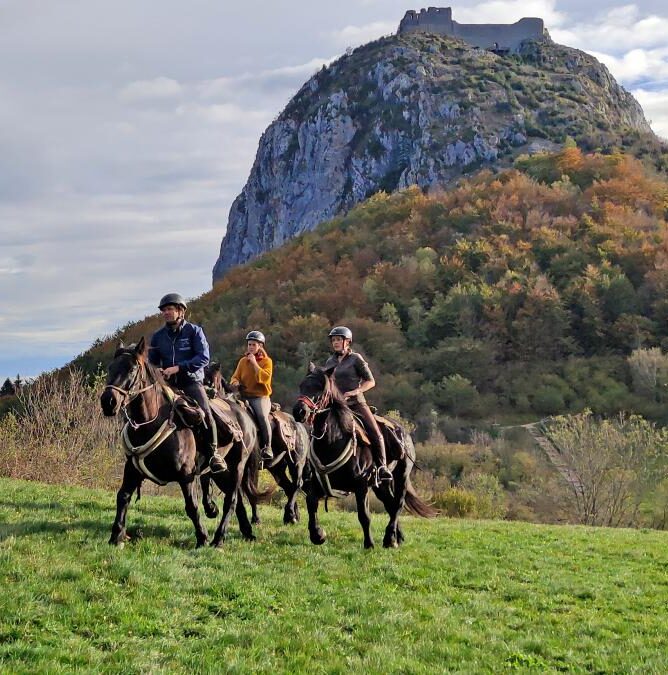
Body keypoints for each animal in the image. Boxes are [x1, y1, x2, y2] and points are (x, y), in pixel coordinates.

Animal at [100, 338, 263, 548]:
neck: (152, 421)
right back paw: (246, 532)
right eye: (111, 367)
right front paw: (116, 536)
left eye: (132, 368)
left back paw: (218, 539)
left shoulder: (186, 475)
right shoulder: (132, 469)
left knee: (232, 500)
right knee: (237, 500)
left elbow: (191, 506)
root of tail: (246, 415)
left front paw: (202, 538)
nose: (108, 402)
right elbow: (122, 497)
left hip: (237, 466)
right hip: (221, 472)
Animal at [202, 362, 309, 526]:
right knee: (289, 487)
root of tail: (300, 426)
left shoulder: (246, 465)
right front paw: (211, 509)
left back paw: (291, 514)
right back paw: (291, 517)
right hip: (277, 468)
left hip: (296, 463)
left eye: (210, 380)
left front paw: (255, 519)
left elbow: (249, 490)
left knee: (297, 484)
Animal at [293, 363, 438, 549]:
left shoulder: (361, 486)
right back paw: (396, 537)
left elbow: (364, 515)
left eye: (320, 388)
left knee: (398, 504)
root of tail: (403, 432)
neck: (333, 441)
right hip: (381, 485)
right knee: (390, 504)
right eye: (302, 385)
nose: (299, 411)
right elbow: (311, 504)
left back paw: (390, 539)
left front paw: (369, 544)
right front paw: (318, 535)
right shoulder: (316, 483)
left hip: (401, 476)